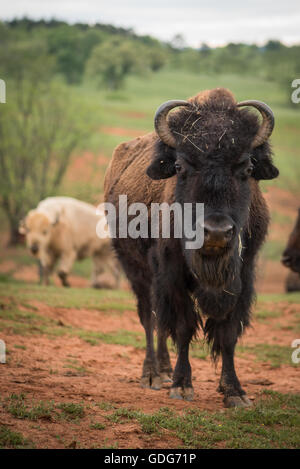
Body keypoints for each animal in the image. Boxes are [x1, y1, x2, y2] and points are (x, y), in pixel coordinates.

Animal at [103, 88, 278, 406]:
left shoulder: (242, 277)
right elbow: (183, 327)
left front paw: (234, 391)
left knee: (159, 320)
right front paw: (182, 385)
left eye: (247, 167)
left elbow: (228, 333)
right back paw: (153, 375)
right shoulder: (172, 276)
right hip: (136, 271)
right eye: (180, 166)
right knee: (149, 317)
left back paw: (163, 370)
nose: (216, 232)